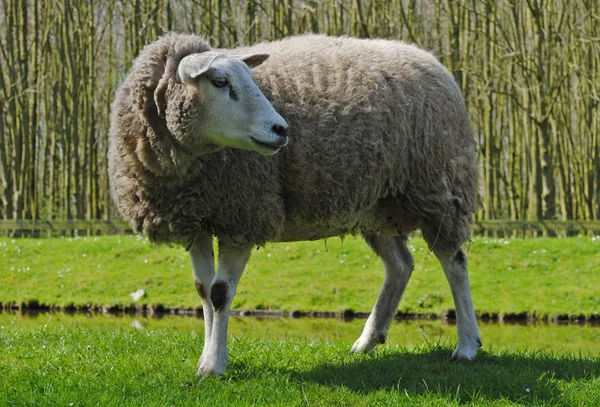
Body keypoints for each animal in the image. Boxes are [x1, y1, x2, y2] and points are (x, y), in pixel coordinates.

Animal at [108, 32, 482, 380]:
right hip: (374, 205)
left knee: (455, 262)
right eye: (220, 82)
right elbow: (203, 291)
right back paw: (367, 340)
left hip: (438, 188)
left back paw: (466, 346)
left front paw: (214, 365)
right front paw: (207, 359)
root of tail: (427, 57)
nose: (281, 129)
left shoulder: (245, 215)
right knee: (401, 265)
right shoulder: (196, 219)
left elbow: (220, 293)